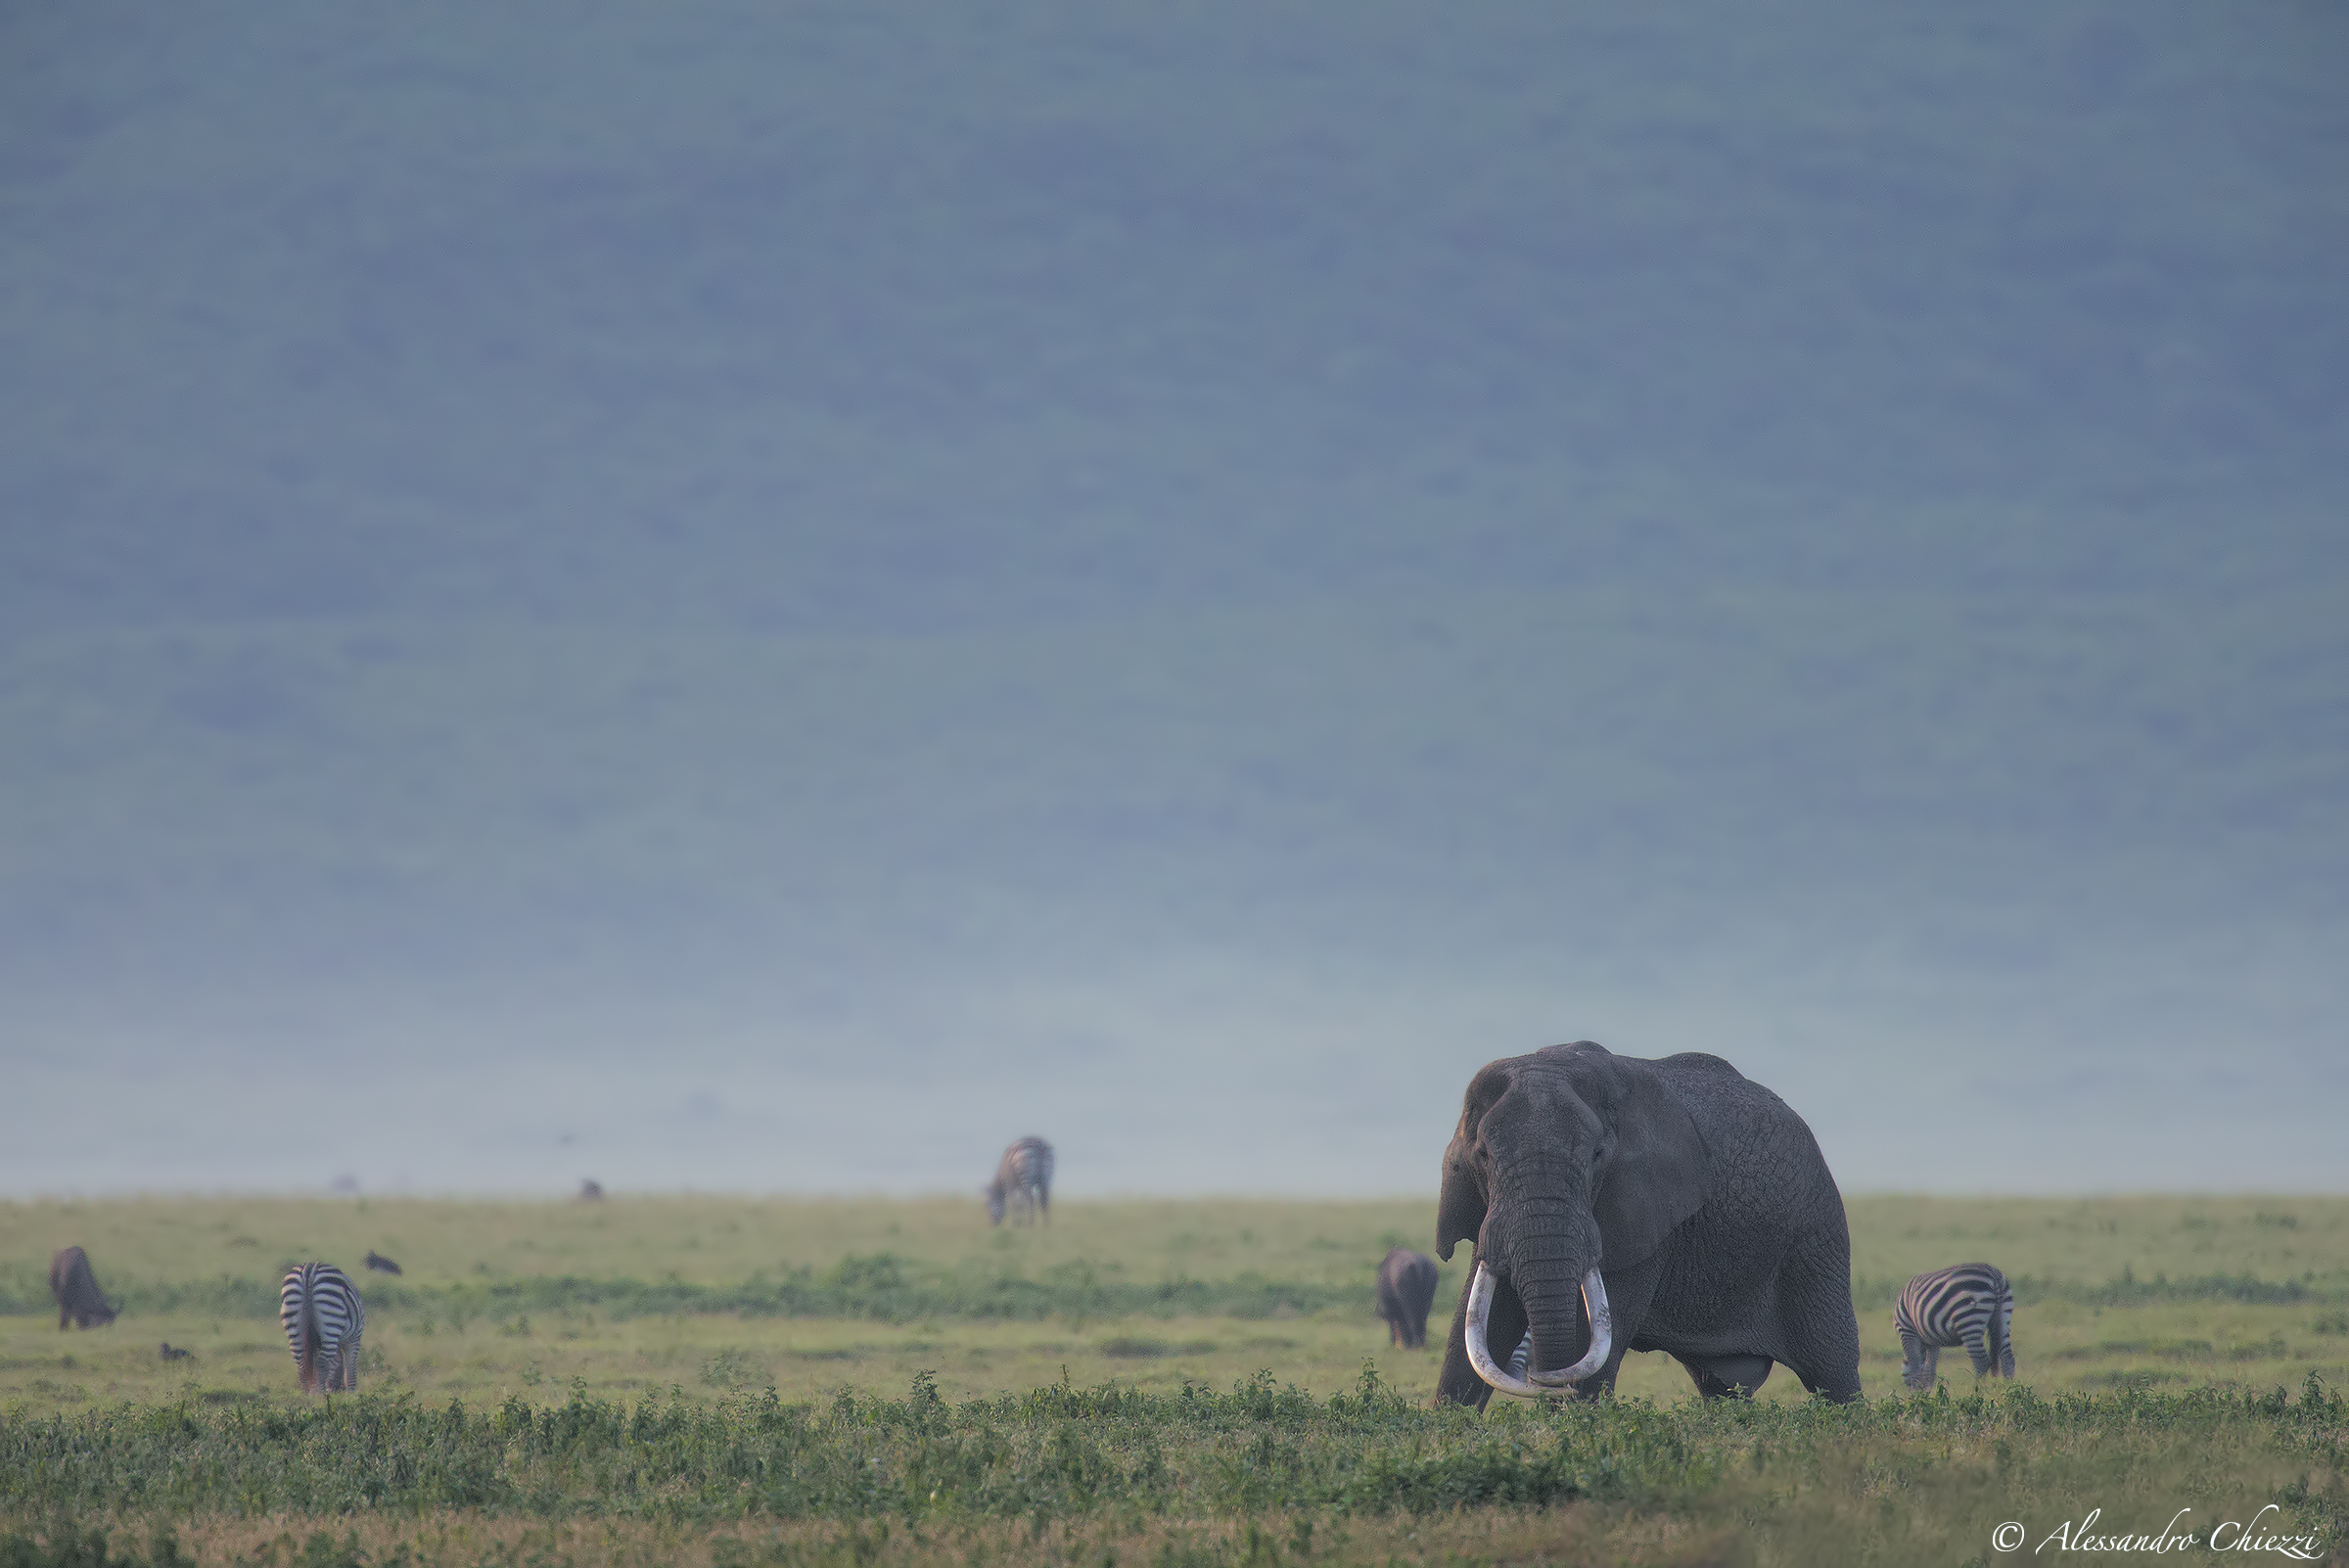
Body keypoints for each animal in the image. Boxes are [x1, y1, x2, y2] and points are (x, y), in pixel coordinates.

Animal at [1433, 1041, 1861, 1407]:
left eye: (1598, 1156)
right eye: (1483, 1155)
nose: (1543, 1382)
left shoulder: (1646, 1213)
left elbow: (1590, 1340)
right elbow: (1478, 1328)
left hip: (1815, 1236)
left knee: (1833, 1369)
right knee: (1721, 1388)